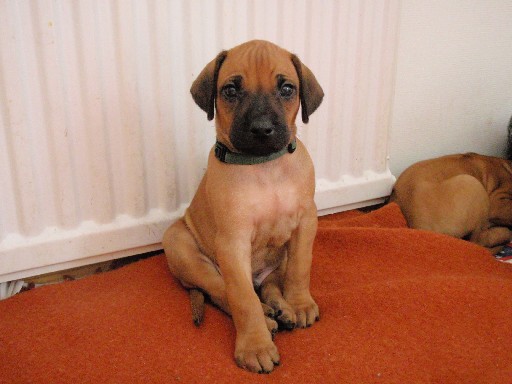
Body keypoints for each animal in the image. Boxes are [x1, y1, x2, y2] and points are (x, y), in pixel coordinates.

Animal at [163, 40, 324, 374]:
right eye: (230, 90)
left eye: (287, 88)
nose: (262, 129)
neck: (264, 166)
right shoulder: (232, 243)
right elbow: (242, 299)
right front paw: (255, 346)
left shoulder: (306, 223)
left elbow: (301, 268)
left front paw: (300, 303)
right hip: (184, 250)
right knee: (223, 293)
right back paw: (267, 319)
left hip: (279, 259)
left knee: (272, 284)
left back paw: (281, 309)